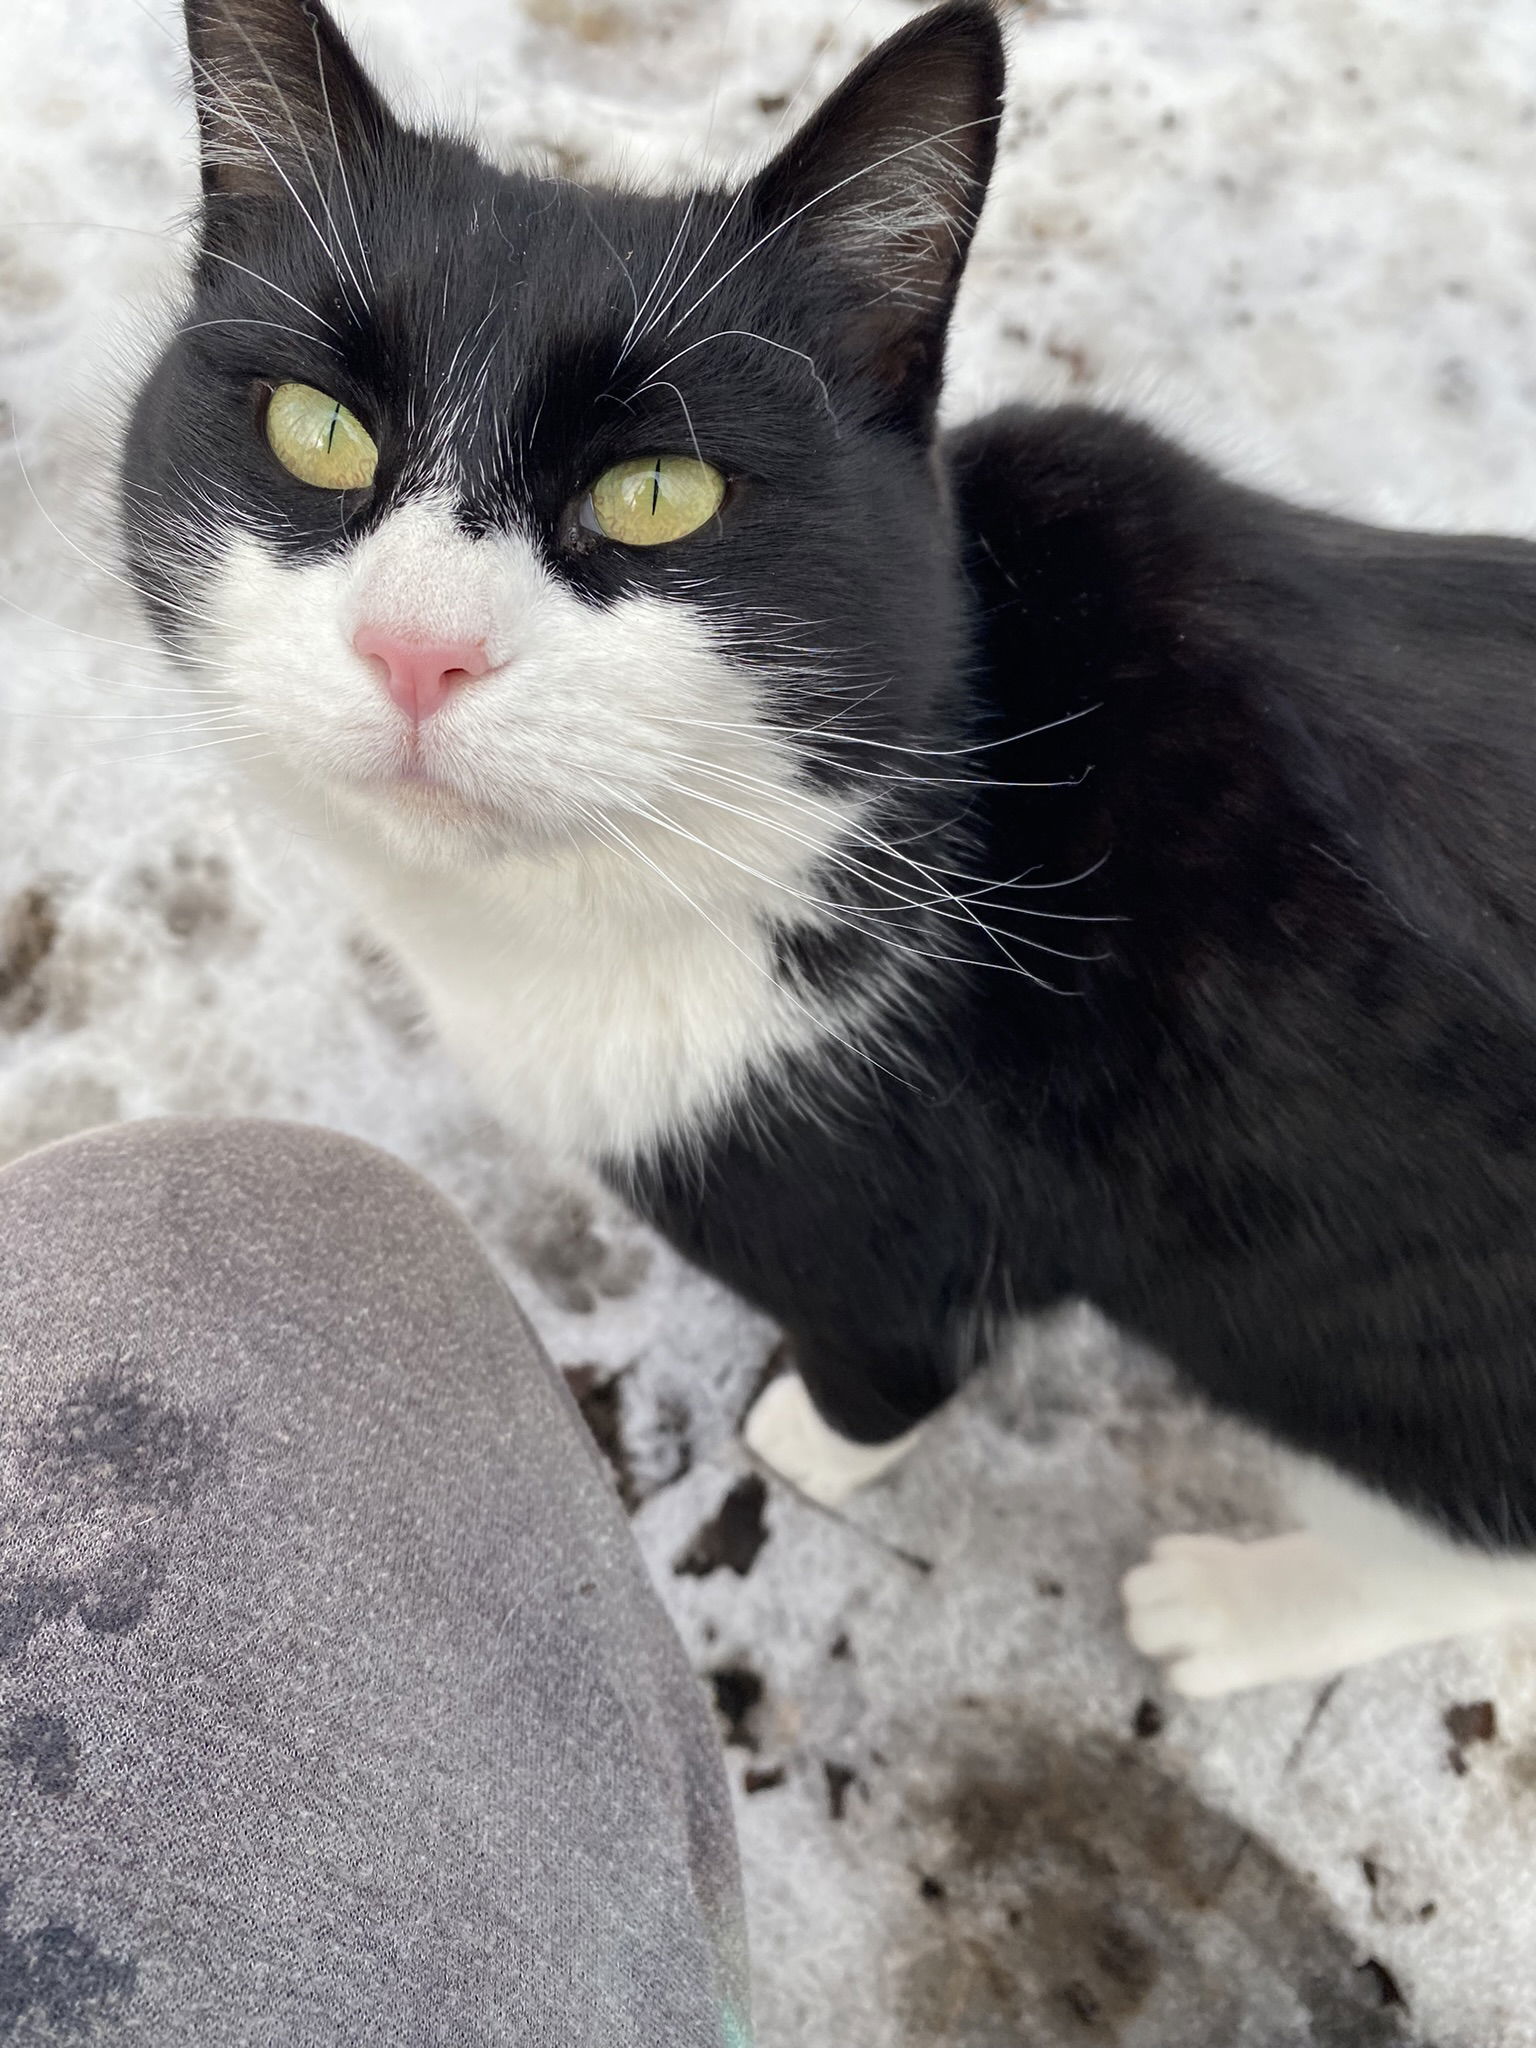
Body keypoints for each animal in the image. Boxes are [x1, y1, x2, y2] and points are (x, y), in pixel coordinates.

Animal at [123, 0, 1536, 1695]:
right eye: (317, 429)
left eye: (659, 493)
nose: (417, 648)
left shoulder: (877, 1214)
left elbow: (895, 1360)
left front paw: (806, 1439)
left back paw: (1228, 1608)